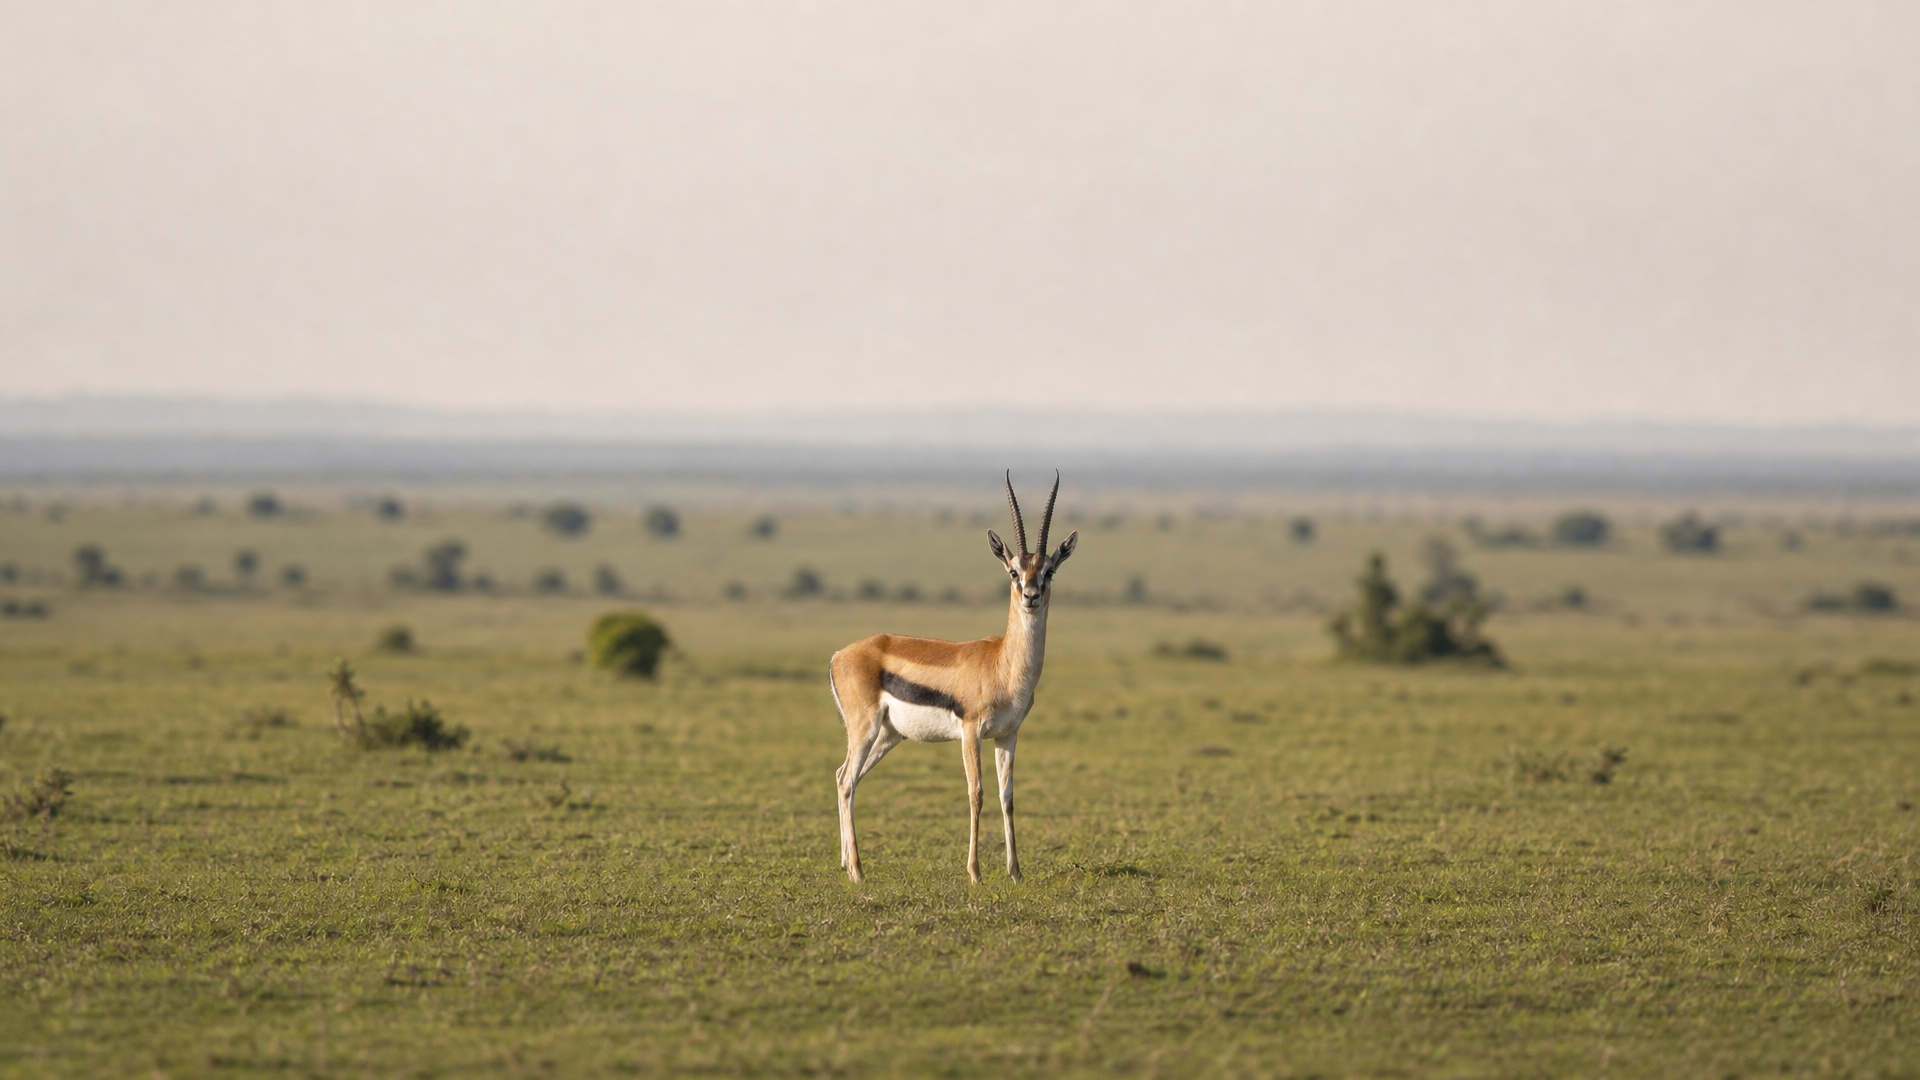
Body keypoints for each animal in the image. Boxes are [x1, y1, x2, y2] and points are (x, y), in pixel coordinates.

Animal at [829, 472, 1079, 884]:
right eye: (1013, 570)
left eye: (1049, 571)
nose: (1030, 596)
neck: (1003, 665)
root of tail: (839, 655)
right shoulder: (970, 731)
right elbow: (976, 793)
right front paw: (975, 873)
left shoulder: (1007, 735)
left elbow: (1007, 797)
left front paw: (1015, 872)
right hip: (864, 729)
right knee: (847, 779)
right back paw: (858, 872)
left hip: (888, 735)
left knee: (843, 777)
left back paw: (848, 865)